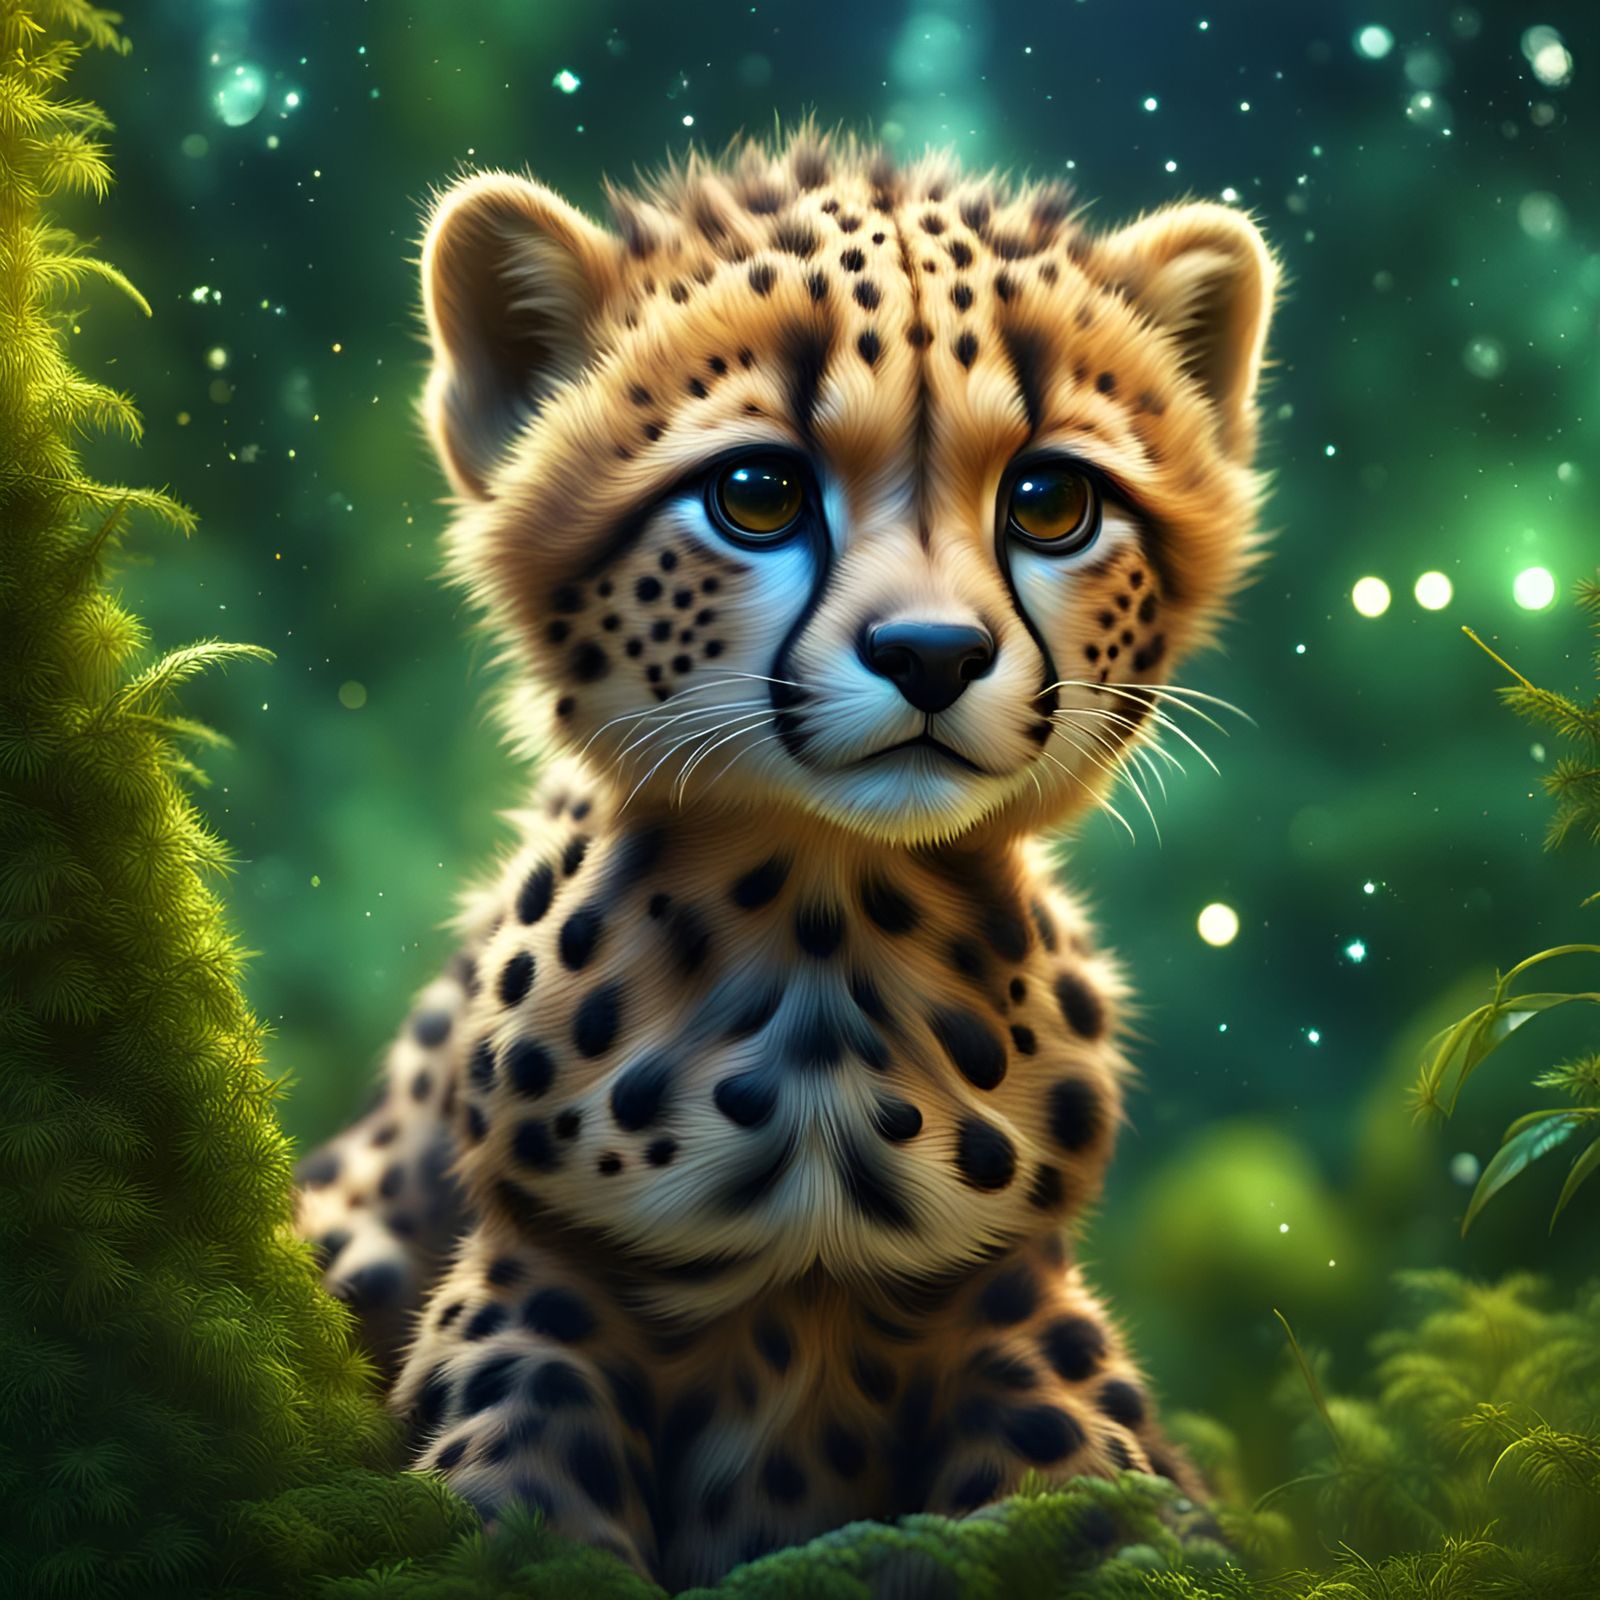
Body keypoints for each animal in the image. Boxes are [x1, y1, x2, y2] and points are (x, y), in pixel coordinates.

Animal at [293, 126, 1276, 1588]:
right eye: (756, 496)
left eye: (1050, 501)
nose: (931, 654)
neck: (826, 926)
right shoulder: (536, 1281)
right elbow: (515, 1486)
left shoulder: (1015, 1298)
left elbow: (1096, 1487)